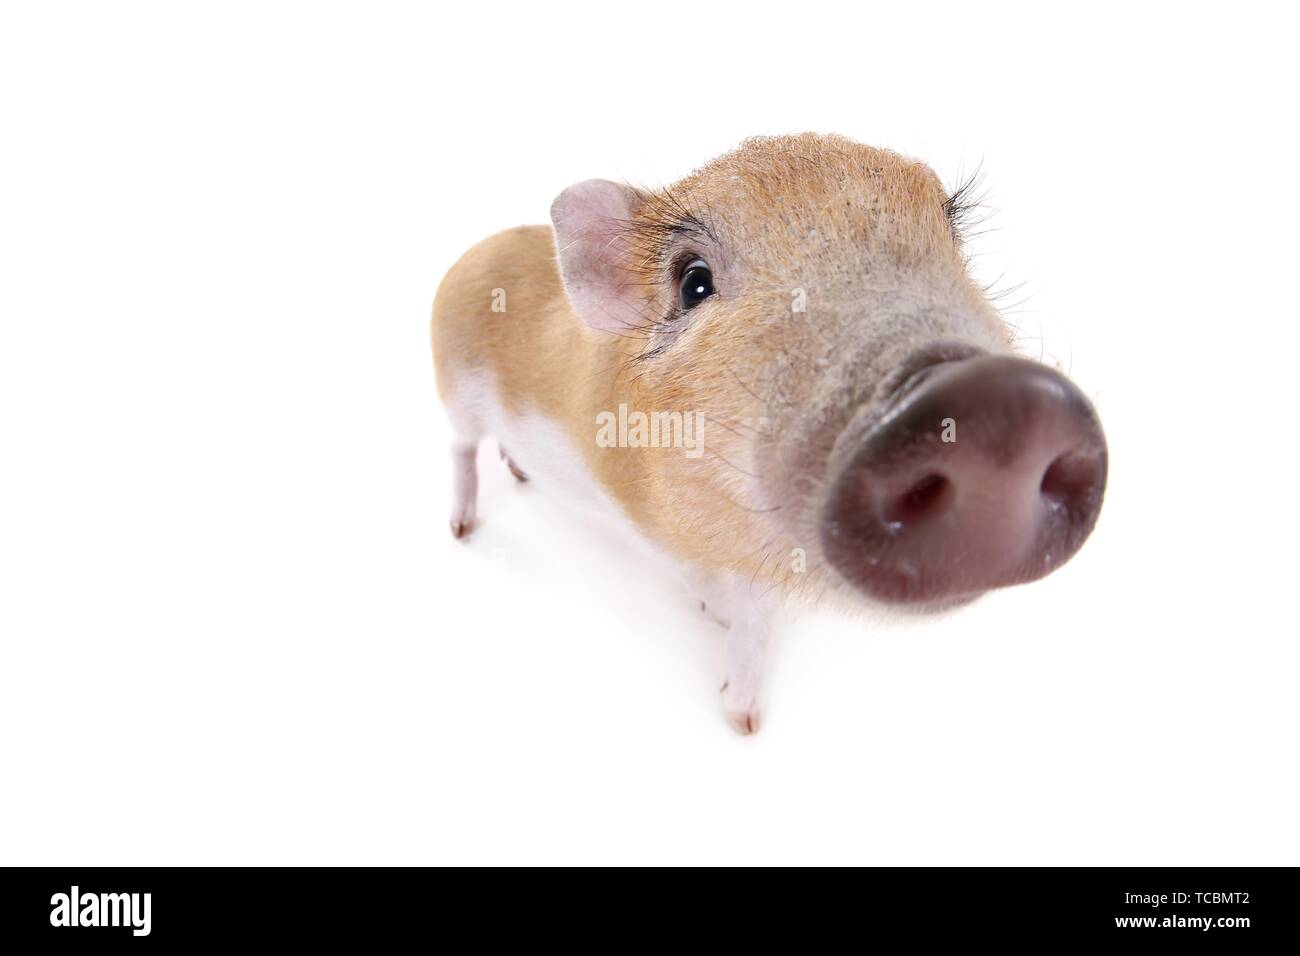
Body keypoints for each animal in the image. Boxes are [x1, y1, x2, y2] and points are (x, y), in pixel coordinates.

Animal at [430, 133, 1107, 734]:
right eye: (693, 282)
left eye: (951, 236)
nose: (993, 400)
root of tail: (475, 252)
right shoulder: (643, 516)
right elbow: (722, 594)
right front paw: (737, 700)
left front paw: (744, 714)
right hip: (453, 391)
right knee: (460, 447)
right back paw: (461, 529)